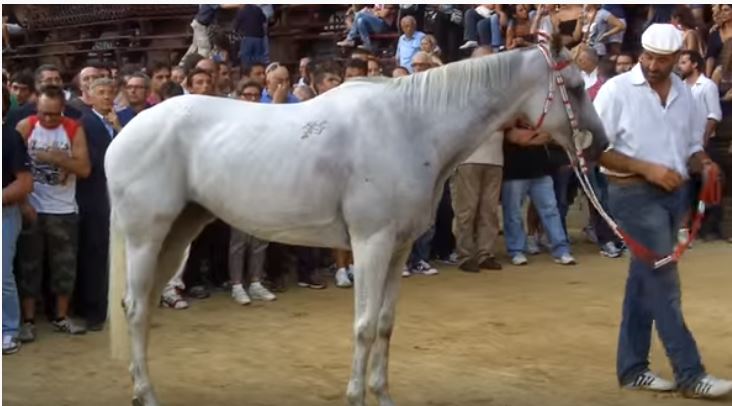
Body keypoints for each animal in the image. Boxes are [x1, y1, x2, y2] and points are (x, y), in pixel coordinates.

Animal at [106, 37, 608, 406]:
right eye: (575, 87)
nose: (601, 144)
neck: (412, 125)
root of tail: (124, 134)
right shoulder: (371, 243)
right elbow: (364, 325)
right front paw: (356, 396)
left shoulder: (399, 248)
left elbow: (385, 323)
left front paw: (382, 395)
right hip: (146, 237)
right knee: (135, 308)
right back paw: (146, 394)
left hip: (178, 233)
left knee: (143, 306)